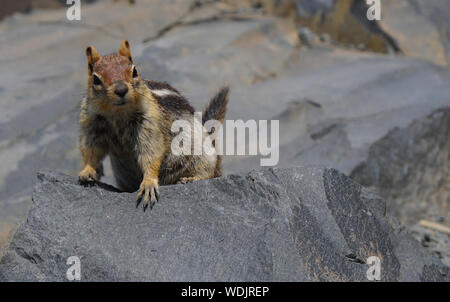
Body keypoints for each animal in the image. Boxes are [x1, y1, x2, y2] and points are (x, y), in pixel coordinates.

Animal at [77, 39, 229, 210]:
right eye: (96, 79)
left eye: (134, 71)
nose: (121, 89)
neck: (118, 114)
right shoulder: (91, 123)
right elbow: (91, 151)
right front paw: (87, 171)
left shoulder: (150, 123)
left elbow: (151, 152)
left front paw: (148, 183)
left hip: (203, 155)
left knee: (208, 172)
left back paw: (191, 178)